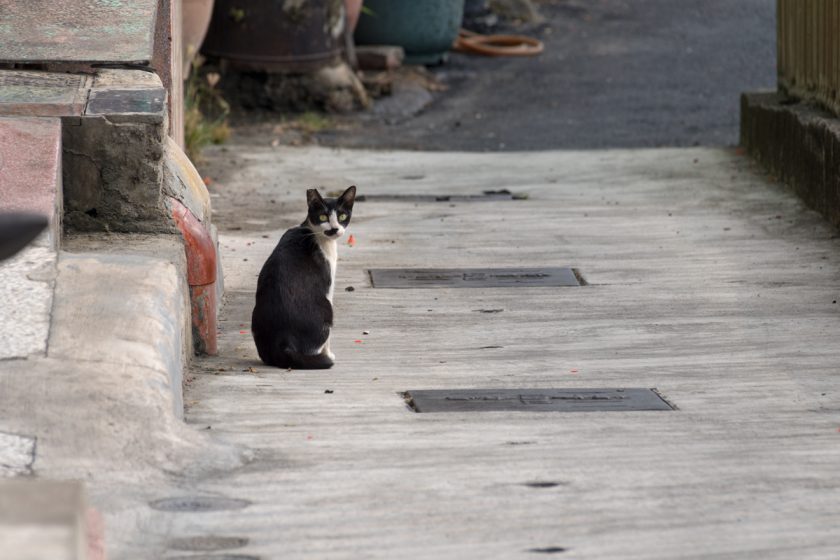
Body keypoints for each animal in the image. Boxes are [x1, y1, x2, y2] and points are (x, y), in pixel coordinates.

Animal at [249, 186, 354, 370]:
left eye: (342, 216)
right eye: (323, 217)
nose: (334, 229)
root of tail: (283, 342)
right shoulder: (329, 284)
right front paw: (329, 354)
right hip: (326, 309)